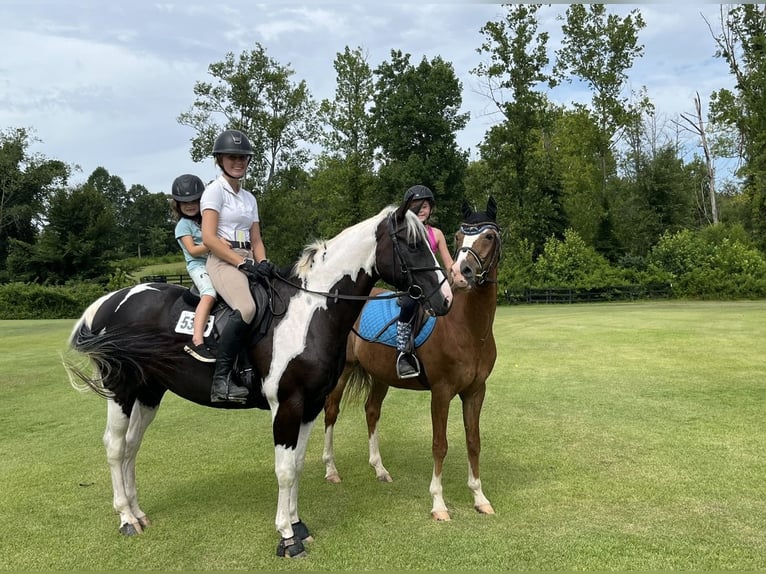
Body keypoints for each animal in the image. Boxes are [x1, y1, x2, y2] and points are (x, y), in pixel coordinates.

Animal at [66, 205, 452, 560]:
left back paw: (138, 513)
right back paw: (126, 518)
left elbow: (297, 465)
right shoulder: (287, 405)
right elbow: (284, 470)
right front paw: (287, 537)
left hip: (149, 391)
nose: (445, 299)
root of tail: (108, 302)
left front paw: (298, 525)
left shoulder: (311, 405)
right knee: (115, 446)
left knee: (132, 446)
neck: (309, 312)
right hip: (122, 390)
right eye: (412, 244)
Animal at [320, 198, 500, 520]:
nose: (463, 272)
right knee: (331, 411)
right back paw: (331, 469)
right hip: (345, 371)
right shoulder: (441, 392)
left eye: (489, 236)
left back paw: (379, 469)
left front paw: (480, 498)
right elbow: (440, 445)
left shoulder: (475, 392)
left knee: (371, 411)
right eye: (459, 236)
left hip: (380, 376)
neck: (466, 326)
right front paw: (438, 504)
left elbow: (473, 442)